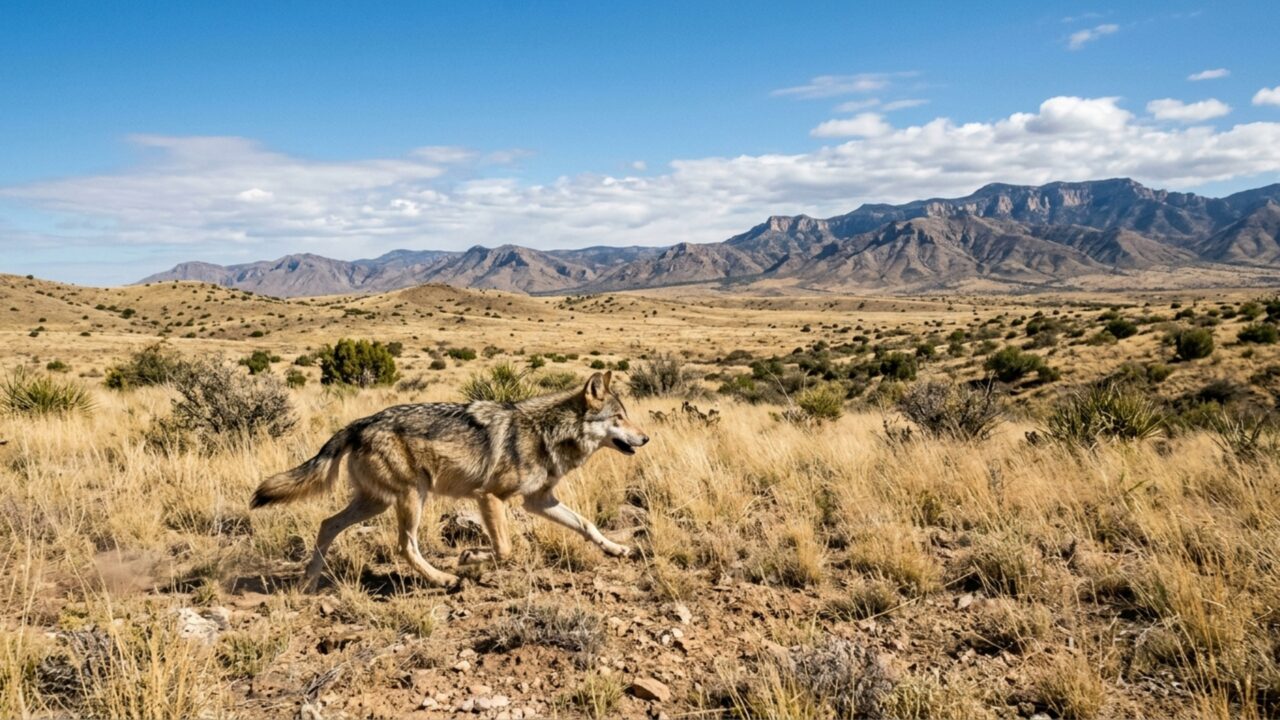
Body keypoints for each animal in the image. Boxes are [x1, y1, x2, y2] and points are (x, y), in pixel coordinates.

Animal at [250, 371, 648, 589]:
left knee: (327, 524)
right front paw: (470, 558)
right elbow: (505, 549)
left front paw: (616, 548)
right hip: (412, 496)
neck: (547, 432)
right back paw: (444, 580)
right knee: (405, 546)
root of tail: (359, 422)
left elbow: (587, 525)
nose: (645, 438)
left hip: (376, 502)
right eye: (619, 417)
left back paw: (309, 581)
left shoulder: (538, 500)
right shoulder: (489, 497)